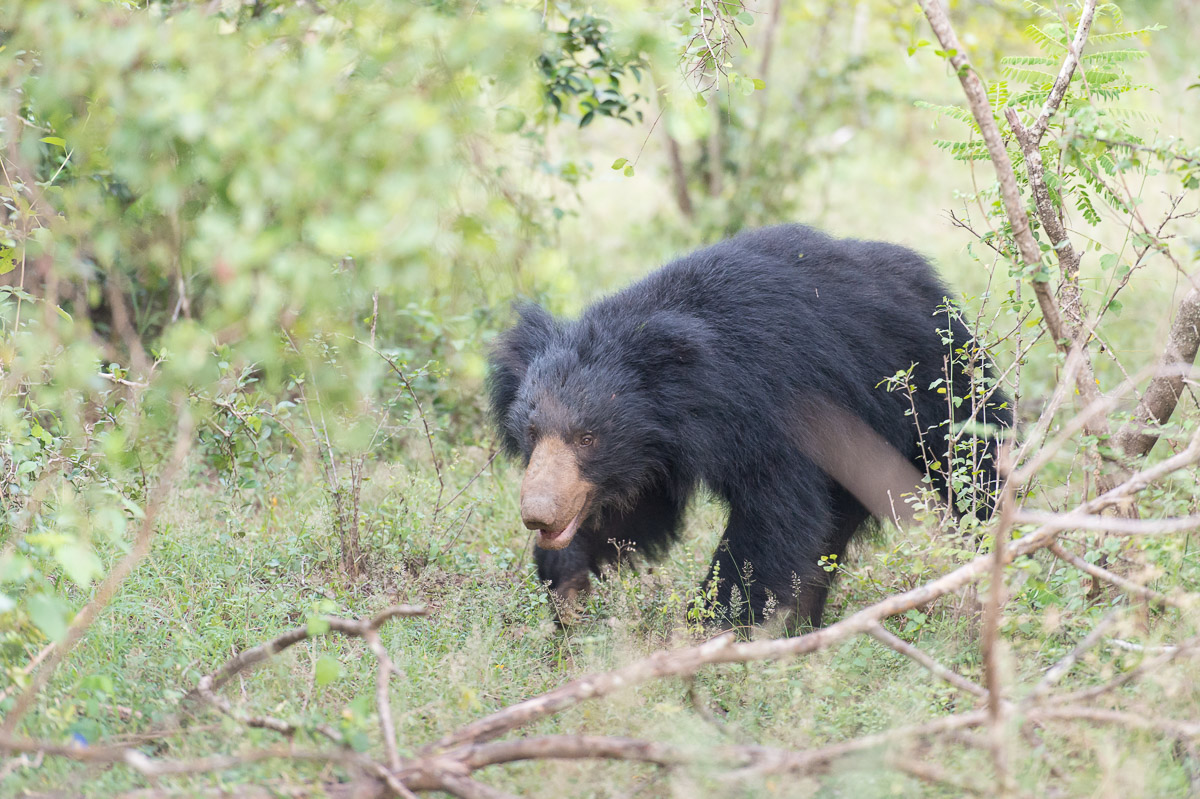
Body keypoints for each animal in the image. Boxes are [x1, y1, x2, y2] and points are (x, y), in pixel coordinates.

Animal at [482, 224, 1008, 628]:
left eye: (587, 438)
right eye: (532, 434)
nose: (538, 514)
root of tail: (938, 292)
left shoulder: (779, 411)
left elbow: (772, 519)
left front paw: (707, 625)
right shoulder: (655, 450)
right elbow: (635, 515)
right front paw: (566, 589)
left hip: (939, 391)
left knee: (975, 474)